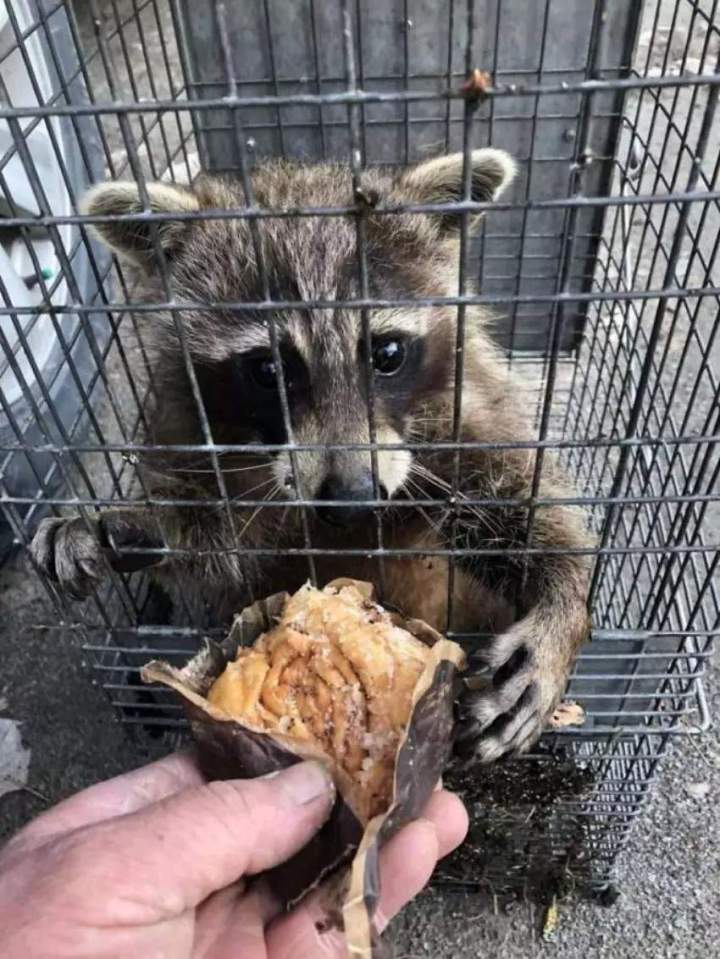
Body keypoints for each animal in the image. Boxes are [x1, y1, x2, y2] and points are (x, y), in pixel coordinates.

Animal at [30, 150, 592, 762]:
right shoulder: (209, 435)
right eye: (268, 370)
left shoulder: (458, 411)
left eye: (387, 353)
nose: (352, 499)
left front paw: (563, 600)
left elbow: (518, 496)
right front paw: (137, 523)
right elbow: (218, 539)